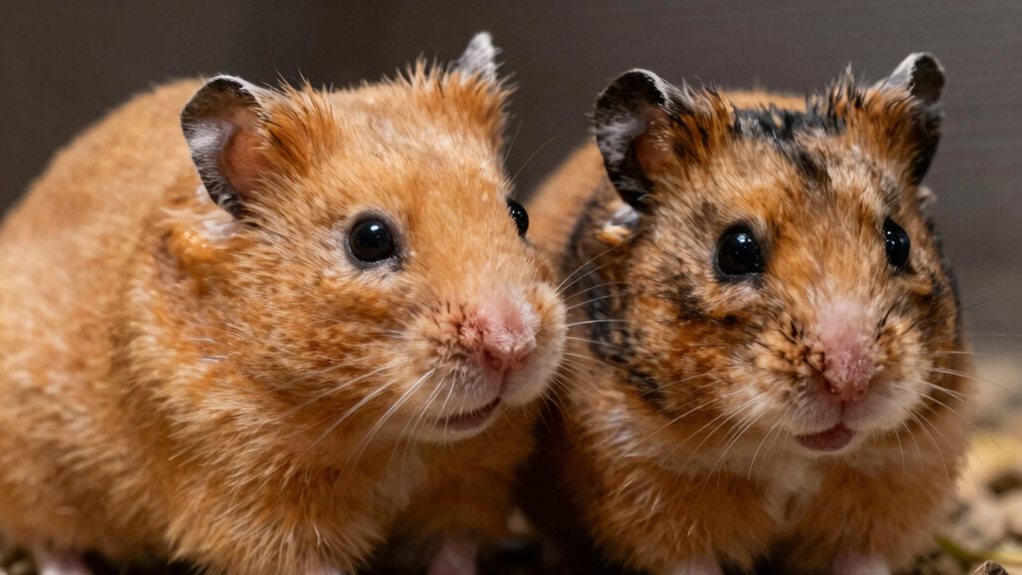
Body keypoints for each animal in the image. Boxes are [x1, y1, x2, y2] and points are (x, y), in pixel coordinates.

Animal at [0, 33, 565, 575]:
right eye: (370, 239)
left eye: (518, 214)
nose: (513, 347)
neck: (391, 438)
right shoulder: (247, 508)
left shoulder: (474, 485)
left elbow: (456, 549)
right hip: (31, 471)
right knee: (47, 541)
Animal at [525, 54, 969, 574]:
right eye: (735, 252)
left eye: (898, 241)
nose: (850, 380)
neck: (786, 449)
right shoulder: (646, 481)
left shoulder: (897, 481)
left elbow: (864, 560)